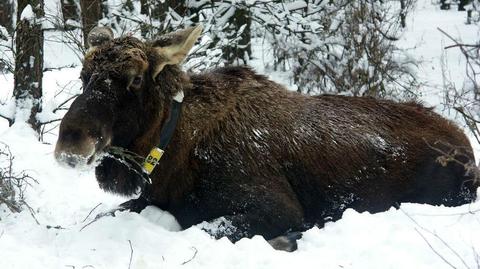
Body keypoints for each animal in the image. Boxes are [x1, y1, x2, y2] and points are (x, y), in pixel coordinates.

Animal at [55, 24, 476, 249]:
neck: (174, 151)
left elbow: (210, 228)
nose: (70, 144)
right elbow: (100, 216)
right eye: (83, 76)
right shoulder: (149, 201)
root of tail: (468, 150)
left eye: (135, 80)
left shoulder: (276, 208)